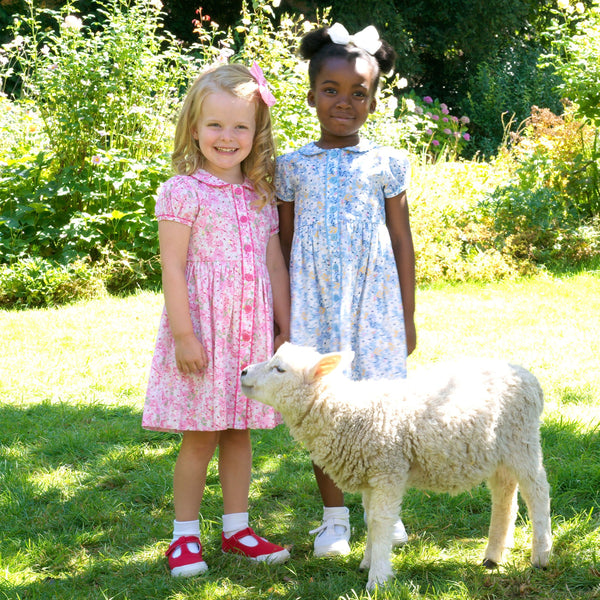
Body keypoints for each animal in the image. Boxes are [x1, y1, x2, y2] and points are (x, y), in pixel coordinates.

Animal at [239, 342, 552, 592]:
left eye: (279, 369)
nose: (242, 372)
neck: (346, 412)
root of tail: (526, 375)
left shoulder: (387, 469)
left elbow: (380, 521)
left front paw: (378, 578)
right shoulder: (369, 473)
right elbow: (369, 519)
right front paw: (367, 561)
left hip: (522, 440)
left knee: (538, 492)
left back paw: (541, 555)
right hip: (497, 453)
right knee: (505, 498)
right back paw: (493, 556)